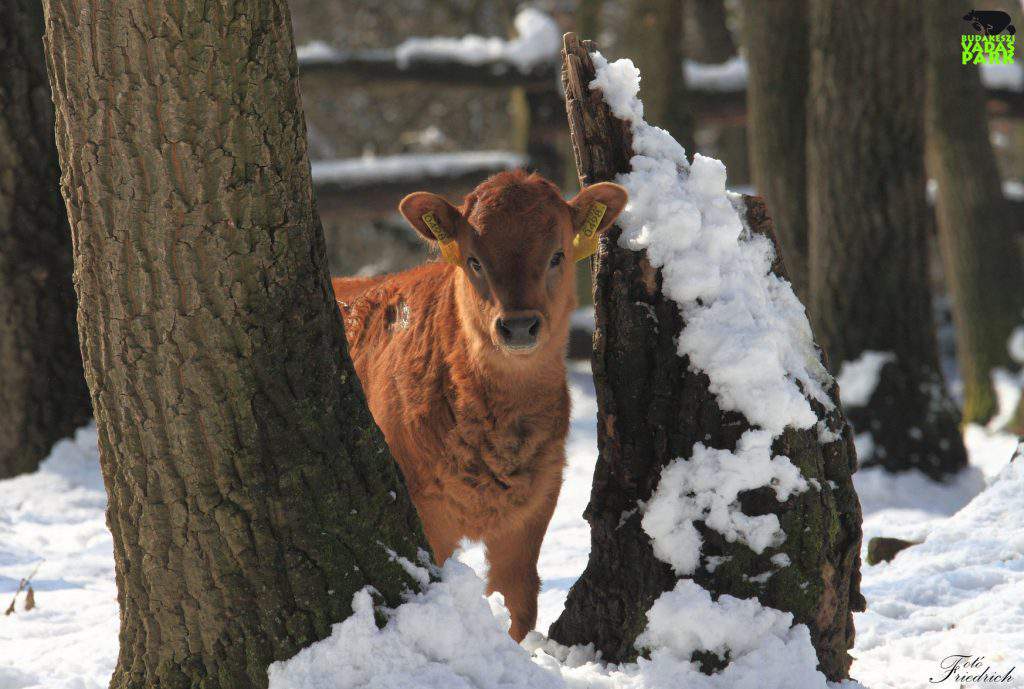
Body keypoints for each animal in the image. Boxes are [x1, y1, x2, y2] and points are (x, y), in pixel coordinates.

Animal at [331, 167, 626, 638]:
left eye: (557, 255)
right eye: (474, 261)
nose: (519, 326)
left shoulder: (535, 503)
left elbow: (517, 600)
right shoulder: (423, 511)